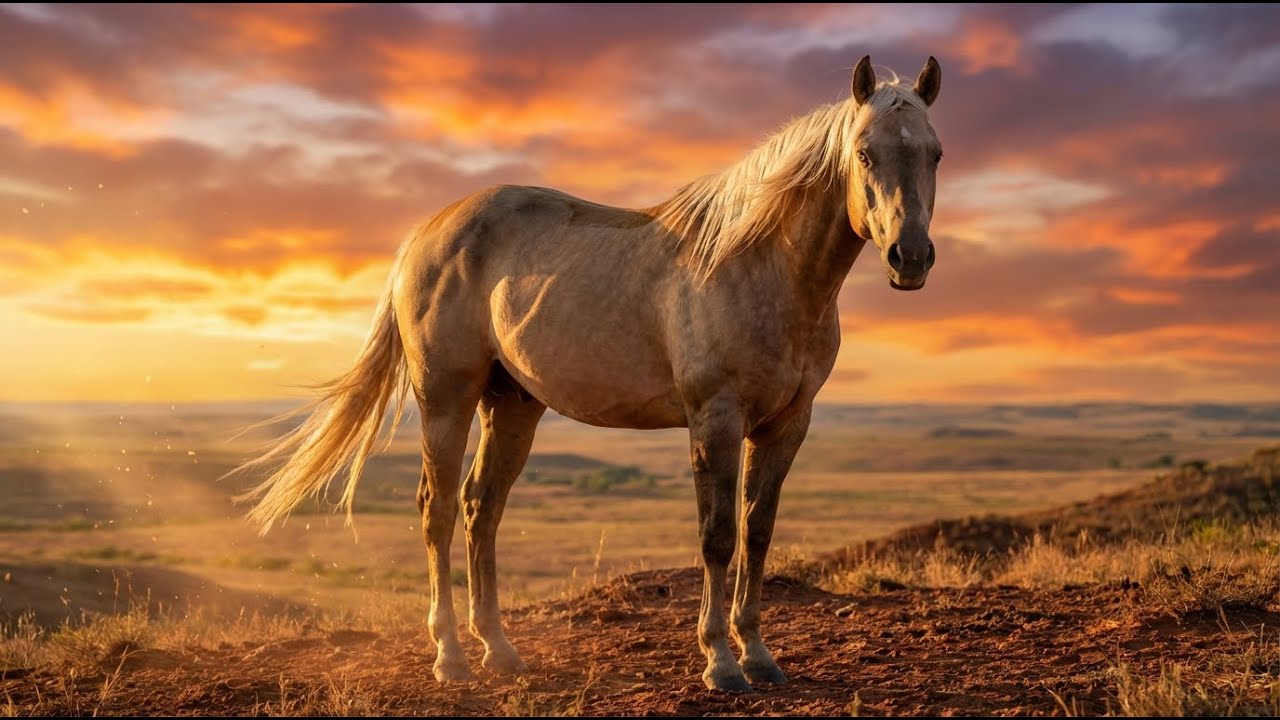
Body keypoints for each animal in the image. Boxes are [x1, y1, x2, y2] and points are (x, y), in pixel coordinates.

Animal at [236, 55, 943, 692]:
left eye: (934, 154)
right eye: (864, 154)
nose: (909, 258)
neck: (760, 262)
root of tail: (426, 235)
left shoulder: (787, 424)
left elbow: (758, 533)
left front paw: (760, 658)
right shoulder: (715, 418)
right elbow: (717, 536)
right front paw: (720, 662)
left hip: (511, 403)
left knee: (480, 507)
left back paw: (499, 650)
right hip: (446, 399)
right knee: (436, 510)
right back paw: (451, 658)